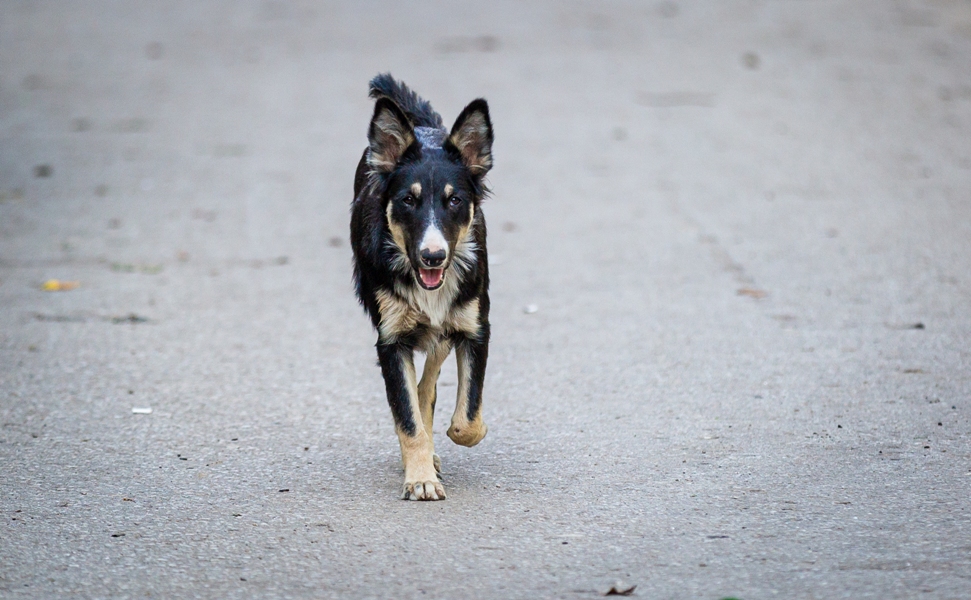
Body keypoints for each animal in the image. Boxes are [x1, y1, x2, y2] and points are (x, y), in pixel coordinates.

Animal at [350, 72, 494, 500]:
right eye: (407, 200)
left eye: (455, 200)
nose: (433, 256)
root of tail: (425, 129)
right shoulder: (390, 340)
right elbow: (408, 418)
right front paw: (420, 478)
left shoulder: (474, 328)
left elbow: (467, 420)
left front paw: (448, 441)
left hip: (450, 324)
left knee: (427, 383)